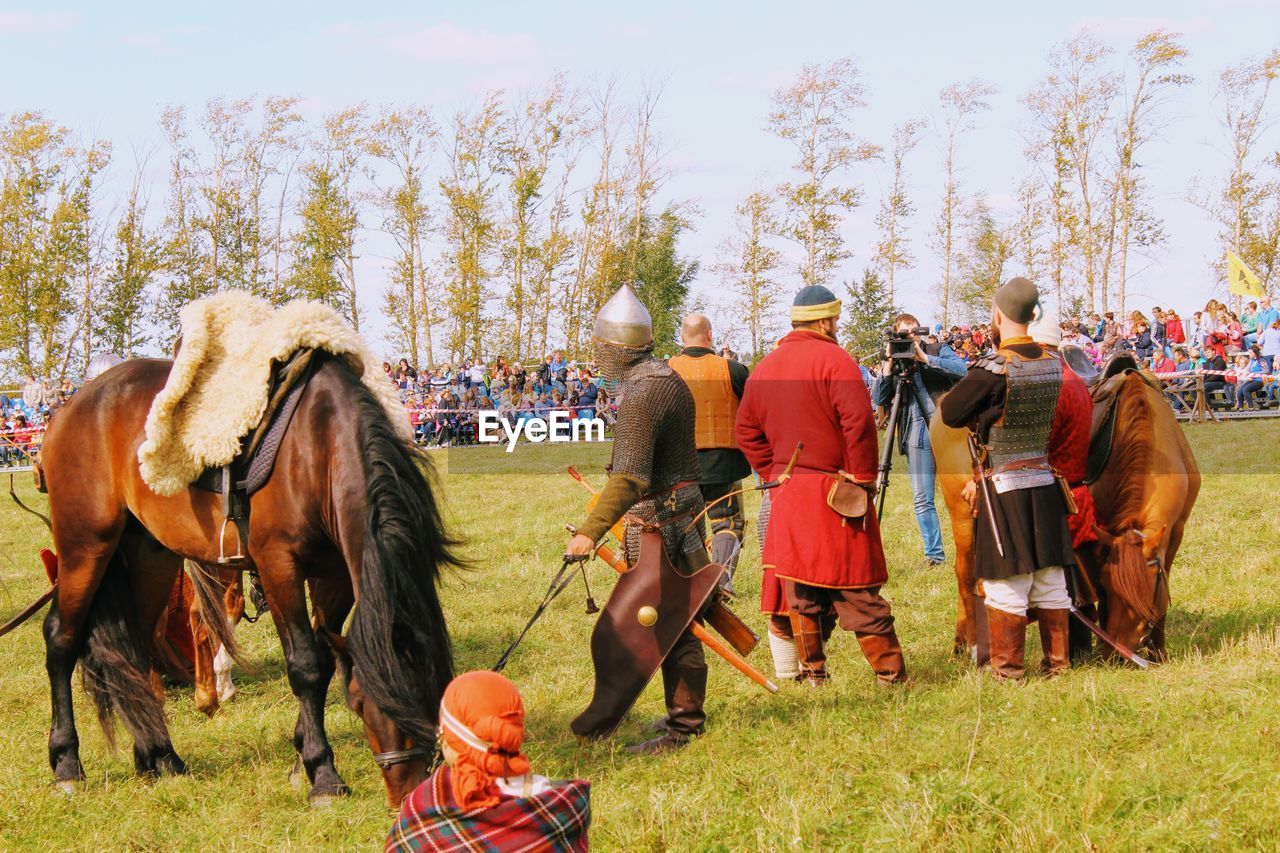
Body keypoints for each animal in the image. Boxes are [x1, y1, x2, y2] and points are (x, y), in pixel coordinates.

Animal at [40, 350, 458, 804]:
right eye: (363, 703)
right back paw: (67, 764)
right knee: (61, 638)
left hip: (150, 556)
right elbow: (306, 665)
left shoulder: (334, 577)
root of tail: (73, 405)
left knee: (135, 650)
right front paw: (323, 774)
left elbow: (325, 659)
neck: (317, 447)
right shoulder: (279, 566)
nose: (407, 792)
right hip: (86, 545)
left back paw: (159, 756)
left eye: (434, 696)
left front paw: (301, 758)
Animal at [931, 361, 1198, 660]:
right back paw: (967, 642)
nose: (1118, 654)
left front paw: (1158, 649)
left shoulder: (1174, 531)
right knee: (965, 574)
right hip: (963, 516)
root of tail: (944, 399)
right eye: (1109, 588)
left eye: (1145, 591)